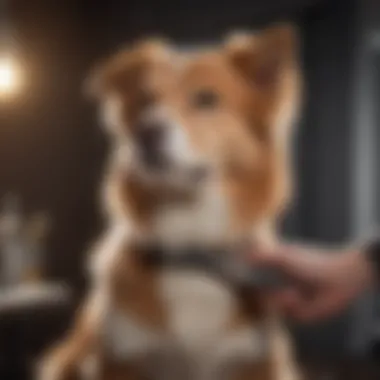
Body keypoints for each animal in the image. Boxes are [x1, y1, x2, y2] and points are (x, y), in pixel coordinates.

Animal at [39, 23, 302, 380]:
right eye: (145, 100)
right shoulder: (122, 358)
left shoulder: (255, 360)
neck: (191, 245)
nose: (146, 132)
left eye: (206, 99)